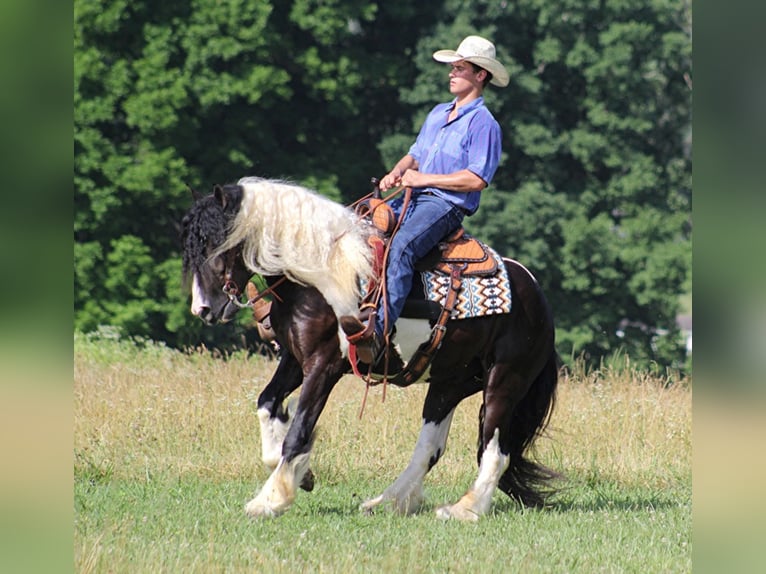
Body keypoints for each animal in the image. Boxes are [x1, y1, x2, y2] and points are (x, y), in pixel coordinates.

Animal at [183, 176, 560, 520]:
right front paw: (302, 476)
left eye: (214, 242)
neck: (319, 275)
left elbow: (299, 431)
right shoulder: (295, 358)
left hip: (505, 381)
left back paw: (463, 510)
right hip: (449, 383)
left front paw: (270, 500)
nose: (203, 308)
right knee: (430, 448)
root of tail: (537, 294)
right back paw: (389, 502)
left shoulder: (324, 365)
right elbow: (267, 404)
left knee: (495, 451)